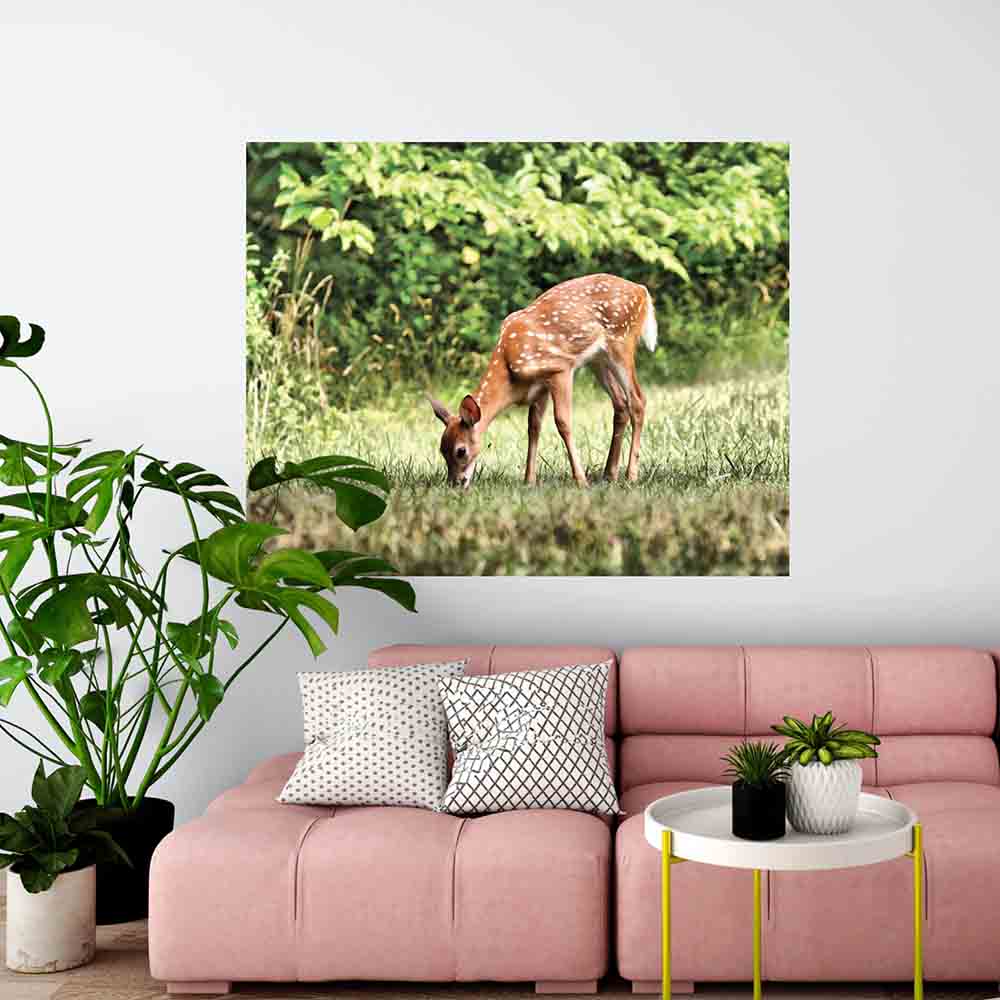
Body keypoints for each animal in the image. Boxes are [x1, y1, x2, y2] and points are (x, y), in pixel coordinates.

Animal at [429, 273, 657, 488]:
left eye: (460, 451)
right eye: (441, 449)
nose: (455, 483)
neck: (509, 371)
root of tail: (642, 291)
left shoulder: (560, 369)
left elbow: (563, 422)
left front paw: (580, 480)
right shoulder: (540, 387)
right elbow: (533, 427)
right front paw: (529, 481)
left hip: (622, 341)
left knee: (638, 400)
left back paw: (631, 475)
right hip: (598, 359)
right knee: (620, 403)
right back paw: (609, 474)